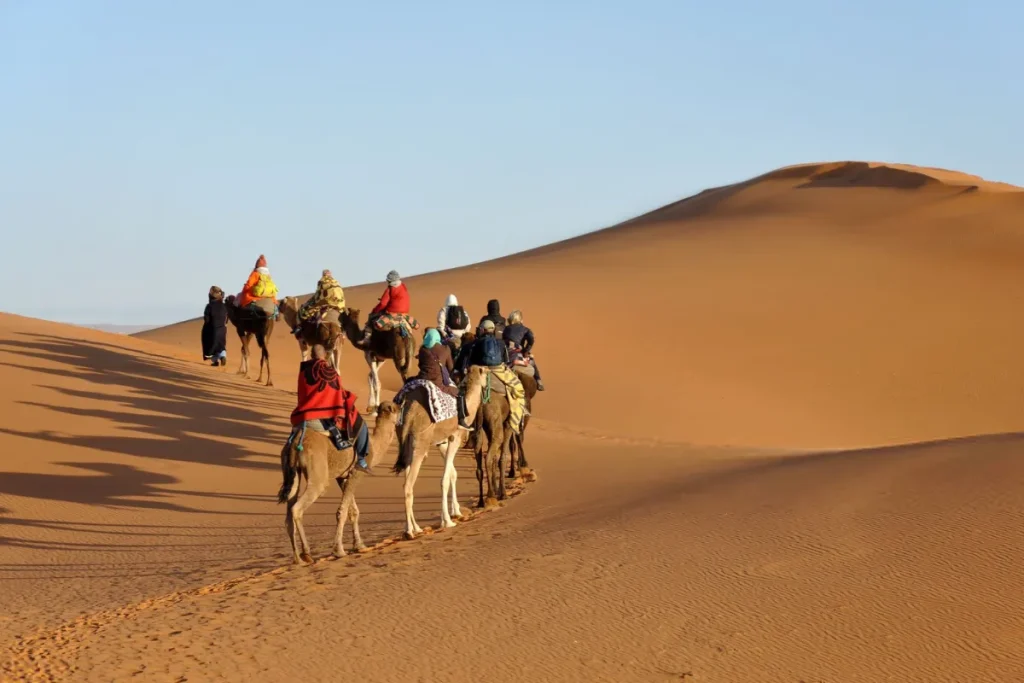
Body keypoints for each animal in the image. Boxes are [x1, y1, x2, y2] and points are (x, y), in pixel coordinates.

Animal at [280, 403, 399, 565]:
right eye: (398, 407)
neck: (374, 446)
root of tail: (296, 441)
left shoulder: (342, 477)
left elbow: (353, 511)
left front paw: (360, 545)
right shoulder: (357, 472)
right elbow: (341, 512)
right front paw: (339, 551)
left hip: (291, 470)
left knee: (289, 509)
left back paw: (297, 559)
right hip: (318, 475)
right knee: (297, 508)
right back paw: (306, 553)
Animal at [389, 366, 489, 540]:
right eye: (486, 374)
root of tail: (408, 413)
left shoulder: (441, 442)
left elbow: (452, 474)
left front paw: (456, 512)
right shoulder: (455, 437)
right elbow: (444, 480)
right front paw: (447, 521)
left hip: (406, 445)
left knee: (408, 481)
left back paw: (416, 528)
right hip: (420, 445)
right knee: (408, 485)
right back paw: (409, 532)